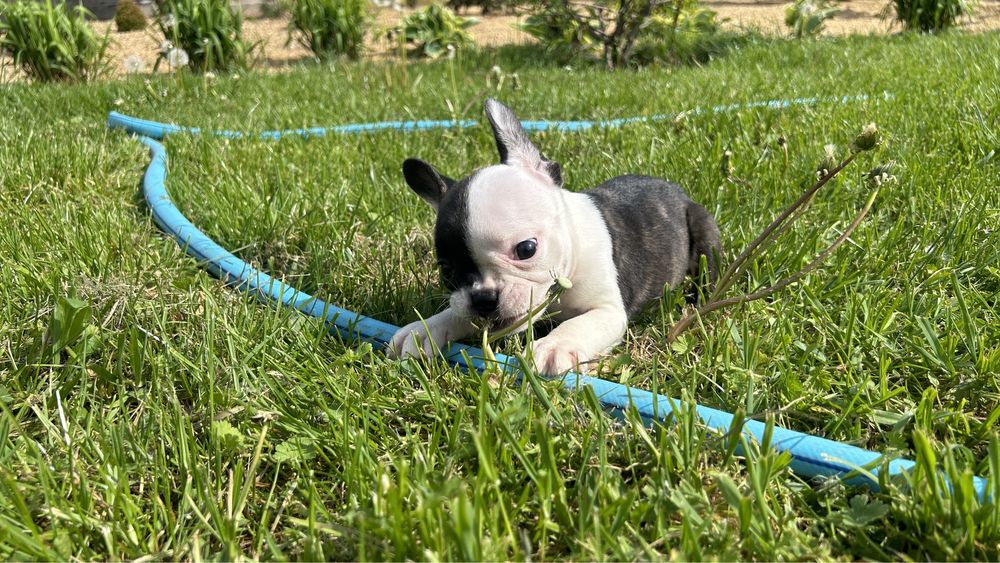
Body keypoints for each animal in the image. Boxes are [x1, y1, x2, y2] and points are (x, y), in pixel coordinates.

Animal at [386, 99, 724, 376]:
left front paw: (554, 345)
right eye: (445, 269)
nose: (484, 298)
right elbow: (457, 313)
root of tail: (677, 191)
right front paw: (424, 329)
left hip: (703, 228)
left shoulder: (608, 310)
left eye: (526, 249)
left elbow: (580, 323)